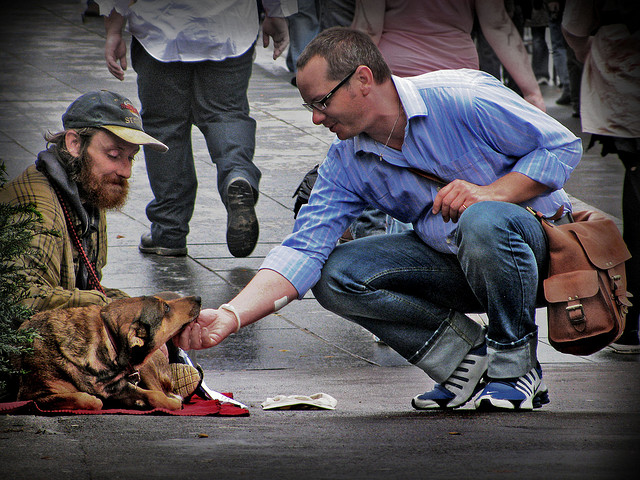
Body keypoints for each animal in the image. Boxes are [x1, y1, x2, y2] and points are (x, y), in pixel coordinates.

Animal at [17, 294, 200, 410]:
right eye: (166, 308)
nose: (198, 298)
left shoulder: (119, 386)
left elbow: (156, 395)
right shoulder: (34, 396)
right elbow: (88, 400)